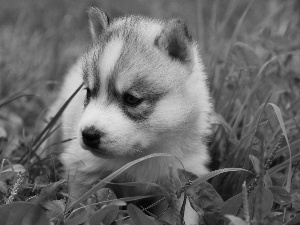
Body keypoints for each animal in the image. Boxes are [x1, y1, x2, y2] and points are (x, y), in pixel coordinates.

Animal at [49, 7, 212, 225]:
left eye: (132, 99)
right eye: (89, 92)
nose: (88, 135)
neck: (140, 155)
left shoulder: (181, 184)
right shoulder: (83, 170)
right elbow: (80, 206)